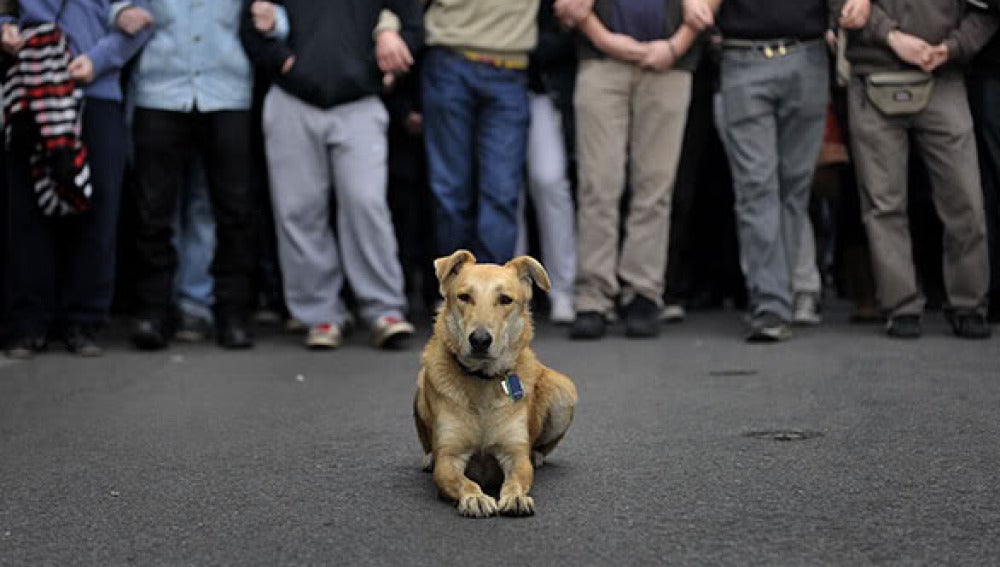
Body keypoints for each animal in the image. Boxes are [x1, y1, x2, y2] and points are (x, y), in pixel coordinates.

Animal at [414, 251, 580, 516]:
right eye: (464, 297)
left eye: (505, 300)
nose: (480, 340)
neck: (483, 380)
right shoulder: (449, 458)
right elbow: (463, 481)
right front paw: (475, 497)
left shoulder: (515, 454)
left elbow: (516, 479)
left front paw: (516, 497)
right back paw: (429, 458)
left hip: (564, 390)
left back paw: (537, 456)